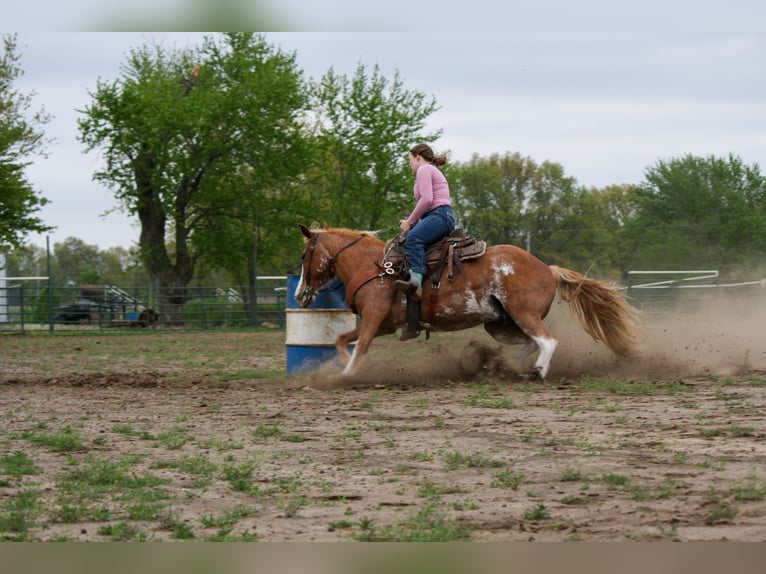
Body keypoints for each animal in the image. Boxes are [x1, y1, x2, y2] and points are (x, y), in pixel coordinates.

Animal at [295, 224, 641, 380]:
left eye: (303, 255)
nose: (299, 295)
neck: (377, 267)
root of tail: (548, 268)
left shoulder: (374, 319)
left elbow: (360, 346)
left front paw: (343, 376)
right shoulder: (383, 324)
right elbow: (342, 339)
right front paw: (338, 365)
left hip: (522, 313)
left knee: (547, 339)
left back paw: (537, 371)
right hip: (499, 324)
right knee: (531, 341)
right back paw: (503, 365)